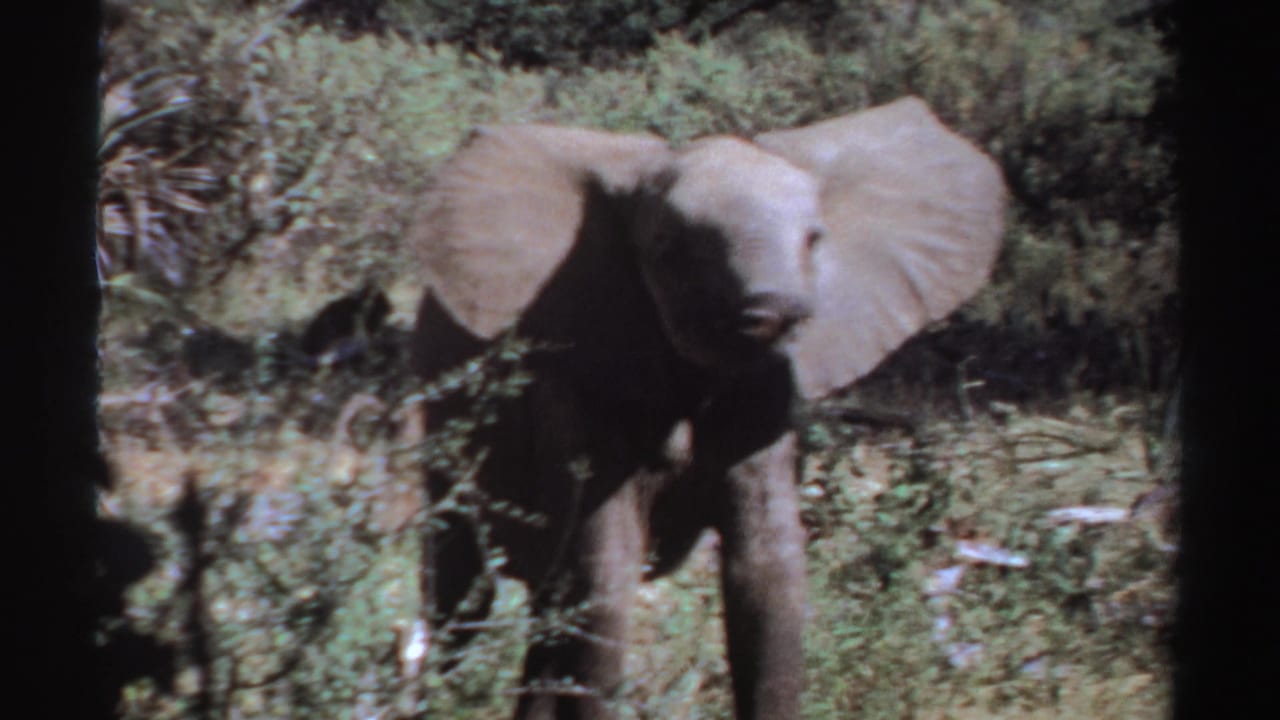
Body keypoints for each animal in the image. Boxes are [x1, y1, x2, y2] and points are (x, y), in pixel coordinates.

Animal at [408, 96, 1007, 720]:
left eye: (815, 240)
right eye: (670, 248)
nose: (779, 311)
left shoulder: (768, 399)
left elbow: (767, 572)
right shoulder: (582, 379)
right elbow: (606, 576)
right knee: (460, 582)